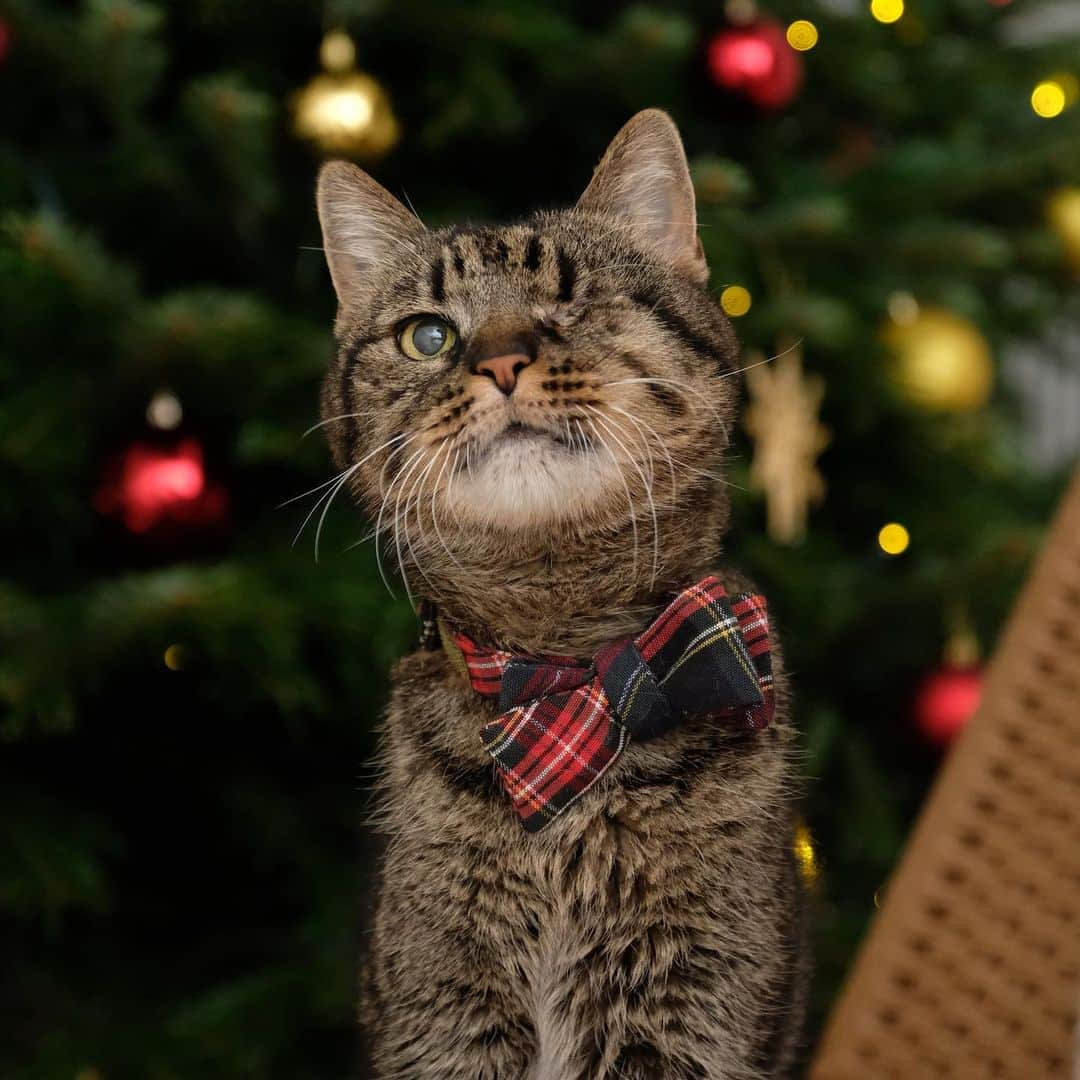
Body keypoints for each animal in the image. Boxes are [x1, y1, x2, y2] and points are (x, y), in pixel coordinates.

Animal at [315, 105, 807, 1075]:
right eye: (428, 335)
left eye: (575, 300)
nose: (501, 361)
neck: (570, 679)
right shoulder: (440, 1013)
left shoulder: (693, 1012)